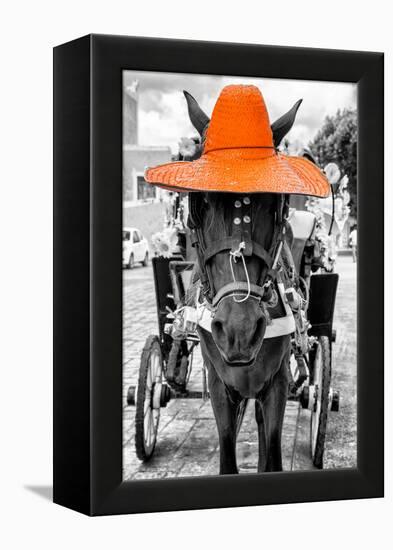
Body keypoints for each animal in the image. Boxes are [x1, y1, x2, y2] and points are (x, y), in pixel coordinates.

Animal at [182, 90, 302, 474]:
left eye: (275, 203)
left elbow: (272, 452)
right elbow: (227, 454)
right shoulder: (220, 385)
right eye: (199, 201)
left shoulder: (277, 382)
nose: (240, 330)